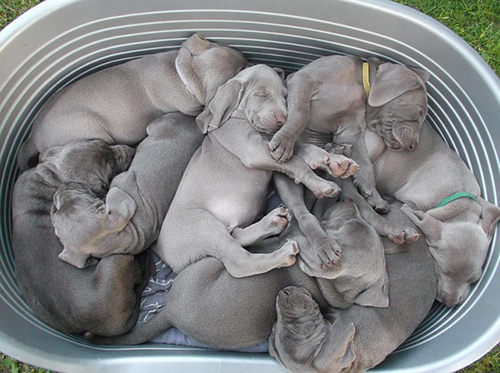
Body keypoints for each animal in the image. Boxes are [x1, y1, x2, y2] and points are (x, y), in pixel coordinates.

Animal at [47, 112, 203, 268]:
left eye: (54, 214)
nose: (61, 188)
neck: (128, 233)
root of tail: (193, 122)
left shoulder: (120, 179)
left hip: (158, 124)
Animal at [268, 55, 428, 212]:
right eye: (419, 112)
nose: (414, 146)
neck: (361, 87)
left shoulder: (350, 131)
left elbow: (365, 164)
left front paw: (374, 195)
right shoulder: (303, 78)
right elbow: (301, 114)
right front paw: (283, 142)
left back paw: (335, 163)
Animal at [364, 120, 500, 306]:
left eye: (473, 279)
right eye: (443, 270)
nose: (450, 303)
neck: (455, 204)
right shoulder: (413, 203)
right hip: (375, 143)